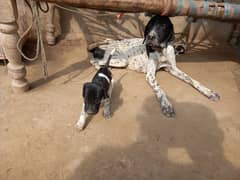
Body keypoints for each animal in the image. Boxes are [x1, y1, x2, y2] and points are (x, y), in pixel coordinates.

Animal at [89, 15, 219, 116]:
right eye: (150, 25)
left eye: (163, 26)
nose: (150, 36)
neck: (161, 52)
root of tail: (97, 47)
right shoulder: (150, 75)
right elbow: (159, 89)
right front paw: (166, 105)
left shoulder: (173, 68)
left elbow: (192, 80)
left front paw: (208, 92)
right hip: (121, 60)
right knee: (94, 61)